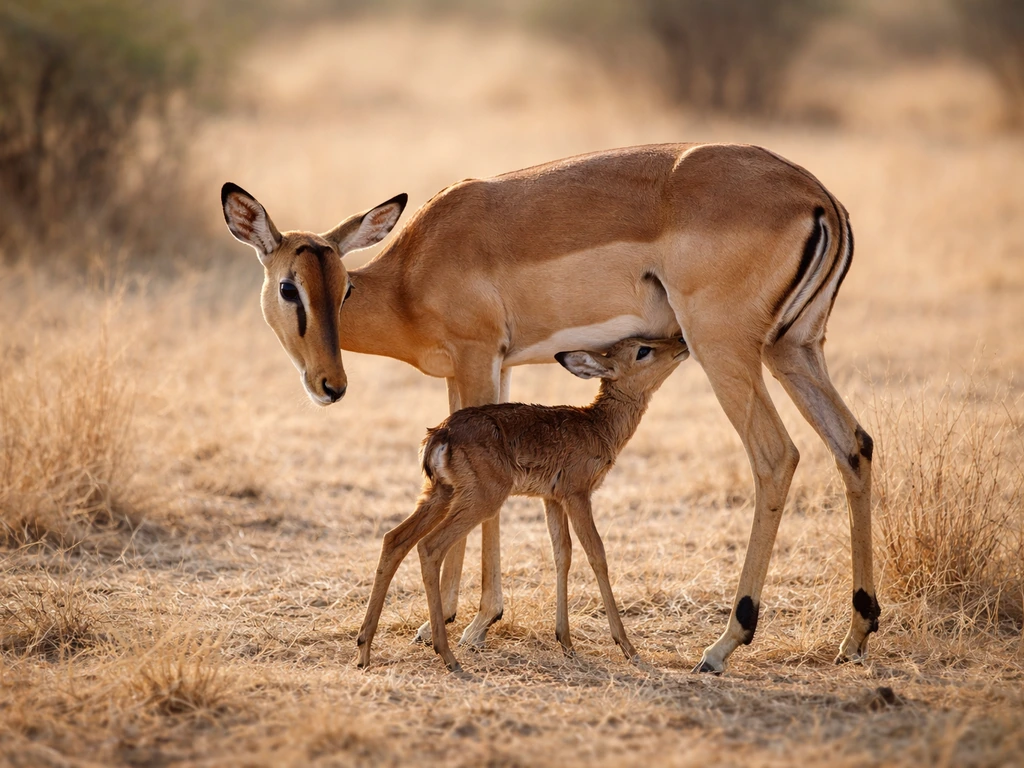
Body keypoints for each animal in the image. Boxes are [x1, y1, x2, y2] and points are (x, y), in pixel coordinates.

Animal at [356, 336, 690, 672]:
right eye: (643, 350)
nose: (681, 342)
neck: (597, 426)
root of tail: (441, 434)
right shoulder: (577, 495)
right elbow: (597, 554)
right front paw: (629, 649)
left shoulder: (551, 499)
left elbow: (562, 555)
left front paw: (566, 643)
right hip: (480, 499)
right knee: (430, 546)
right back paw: (448, 655)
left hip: (440, 493)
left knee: (394, 539)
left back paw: (364, 650)